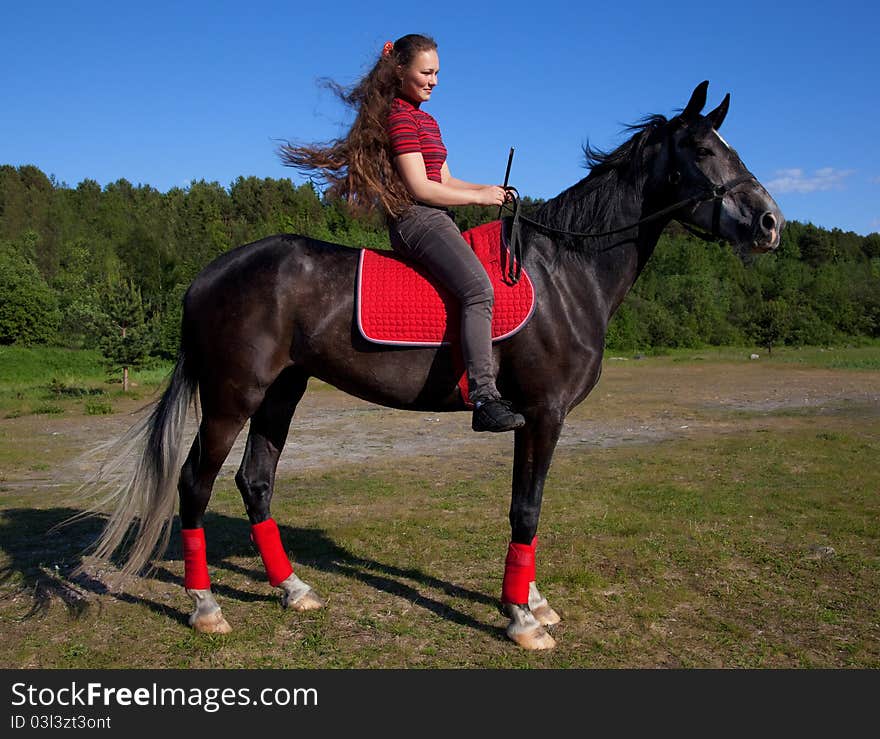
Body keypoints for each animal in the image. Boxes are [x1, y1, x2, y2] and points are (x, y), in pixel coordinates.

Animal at [82, 81, 784, 648]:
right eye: (703, 151)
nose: (771, 223)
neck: (566, 273)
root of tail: (207, 275)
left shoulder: (539, 418)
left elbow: (528, 506)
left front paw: (531, 602)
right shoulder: (543, 413)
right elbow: (527, 508)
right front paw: (521, 619)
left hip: (283, 392)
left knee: (255, 482)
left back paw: (294, 589)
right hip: (234, 397)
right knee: (194, 485)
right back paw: (205, 607)